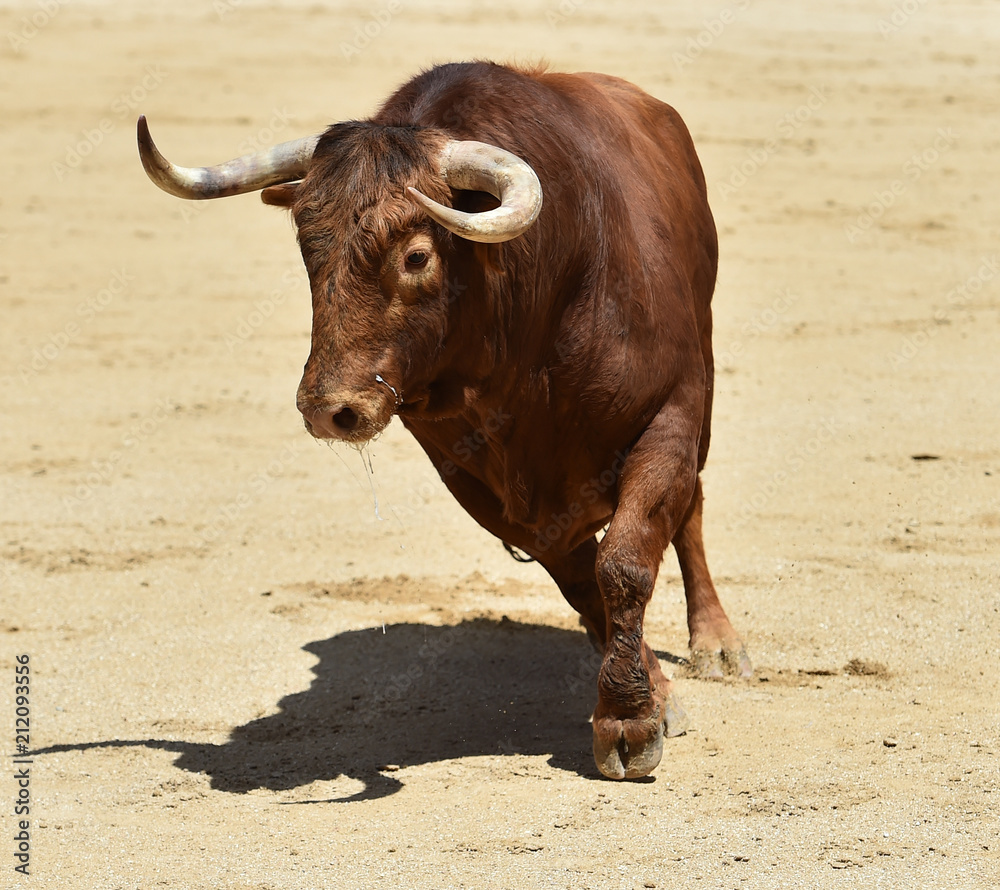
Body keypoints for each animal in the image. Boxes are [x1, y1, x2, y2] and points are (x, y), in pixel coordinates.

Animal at [139, 60, 752, 776]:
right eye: (308, 250)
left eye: (416, 256)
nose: (329, 409)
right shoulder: (474, 478)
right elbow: (581, 578)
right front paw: (651, 695)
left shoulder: (671, 416)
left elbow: (623, 562)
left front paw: (630, 721)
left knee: (691, 512)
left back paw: (718, 643)